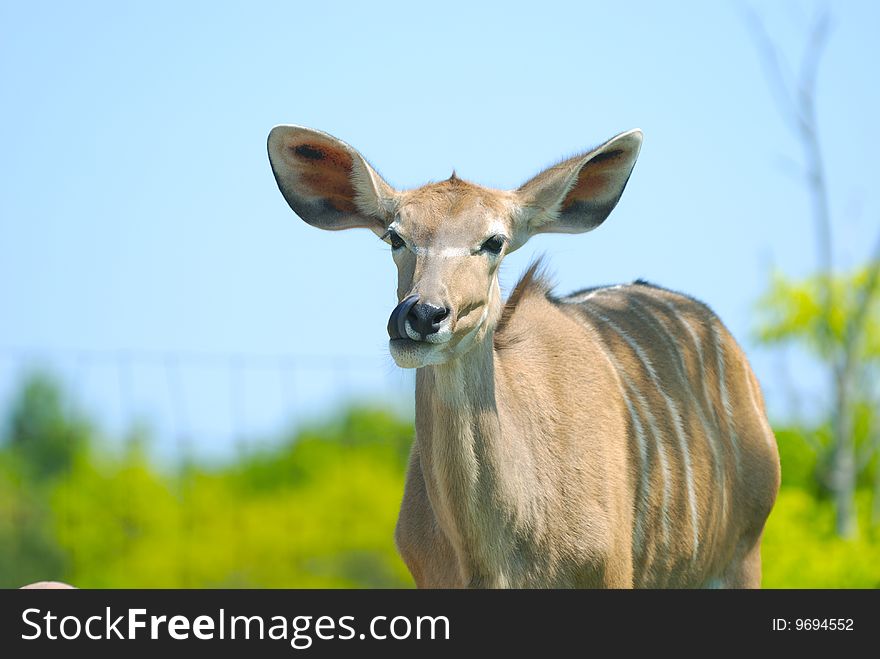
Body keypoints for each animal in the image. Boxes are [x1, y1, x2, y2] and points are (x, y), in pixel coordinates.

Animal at [266, 124, 776, 588]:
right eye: (395, 237)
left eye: (495, 241)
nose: (421, 315)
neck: (495, 559)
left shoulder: (613, 573)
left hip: (742, 555)